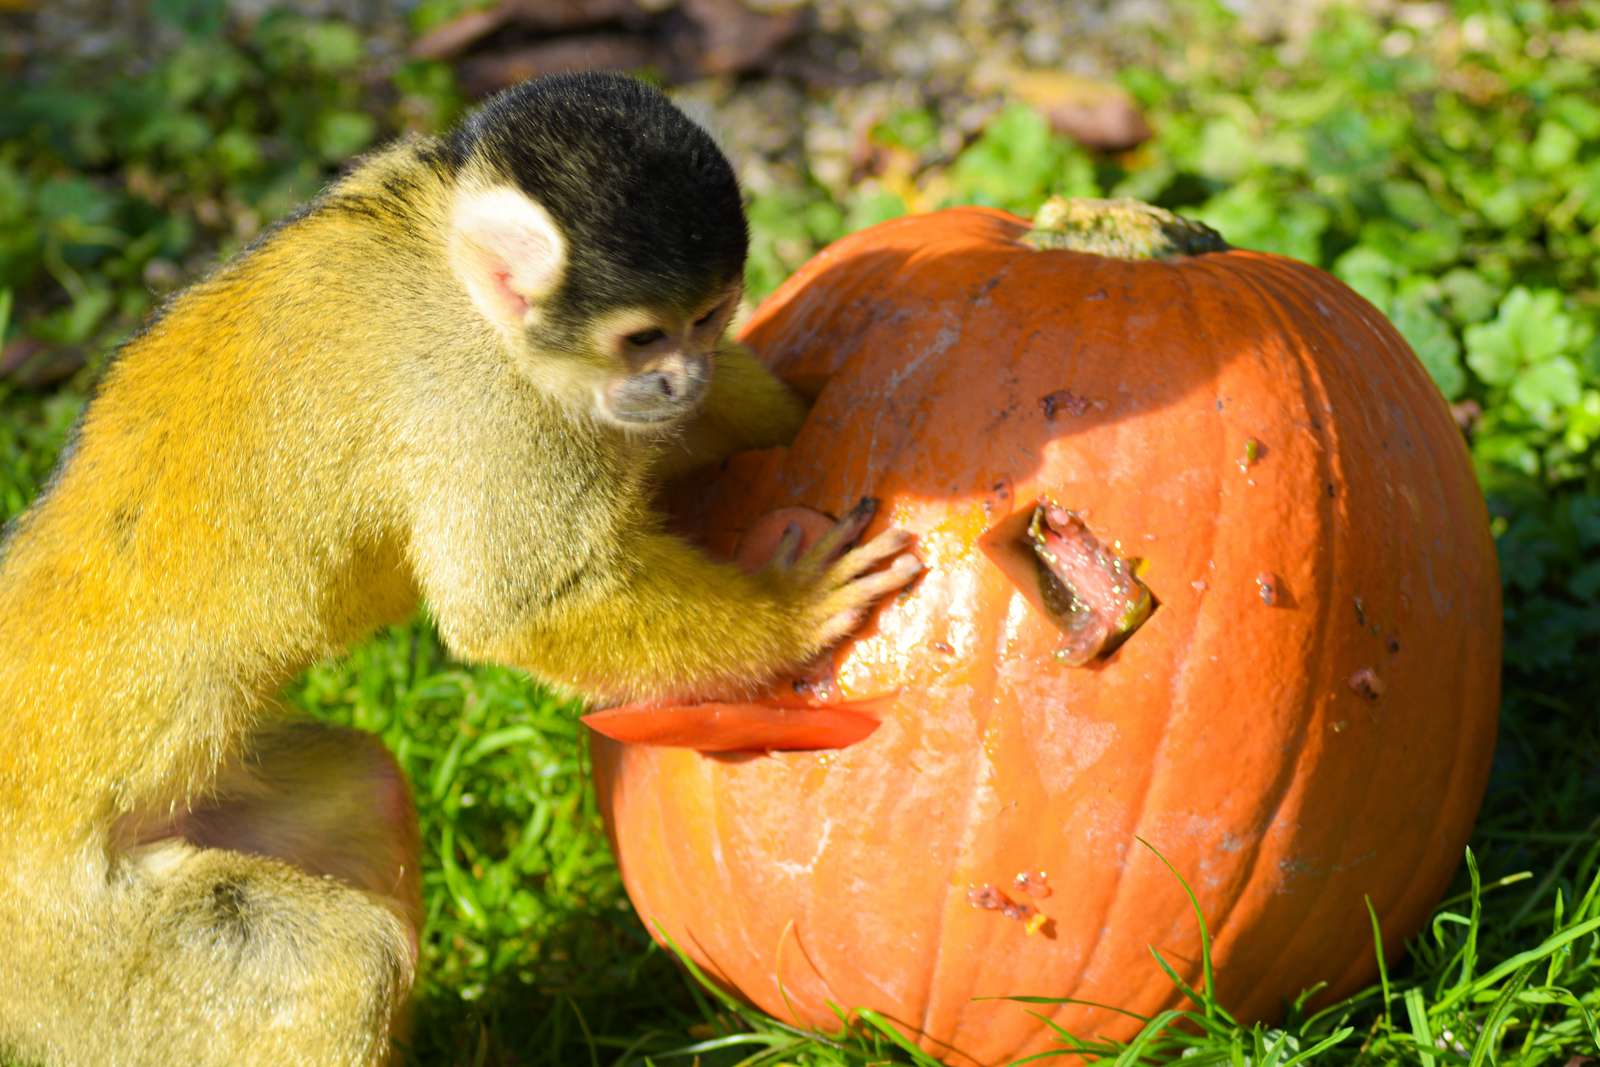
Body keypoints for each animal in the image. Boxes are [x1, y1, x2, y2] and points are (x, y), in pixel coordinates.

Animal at [0, 70, 921, 1062]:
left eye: (707, 319)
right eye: (645, 338)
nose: (682, 376)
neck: (452, 258)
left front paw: (804, 403)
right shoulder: (489, 404)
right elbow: (524, 605)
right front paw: (799, 610)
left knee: (359, 786)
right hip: (84, 960)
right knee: (335, 962)